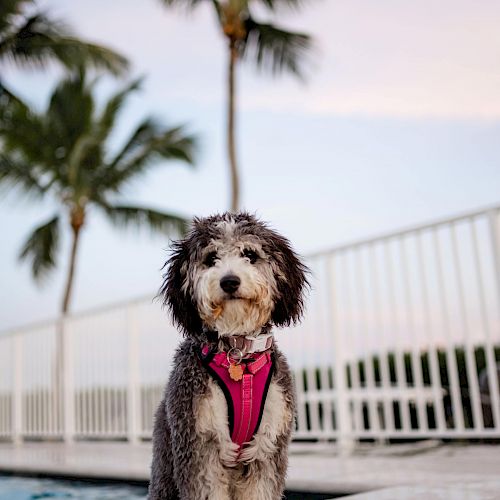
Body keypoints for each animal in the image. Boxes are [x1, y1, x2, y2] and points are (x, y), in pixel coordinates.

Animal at [148, 212, 306, 500]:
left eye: (250, 254)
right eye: (211, 258)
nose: (230, 281)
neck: (239, 355)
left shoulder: (267, 446)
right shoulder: (199, 444)